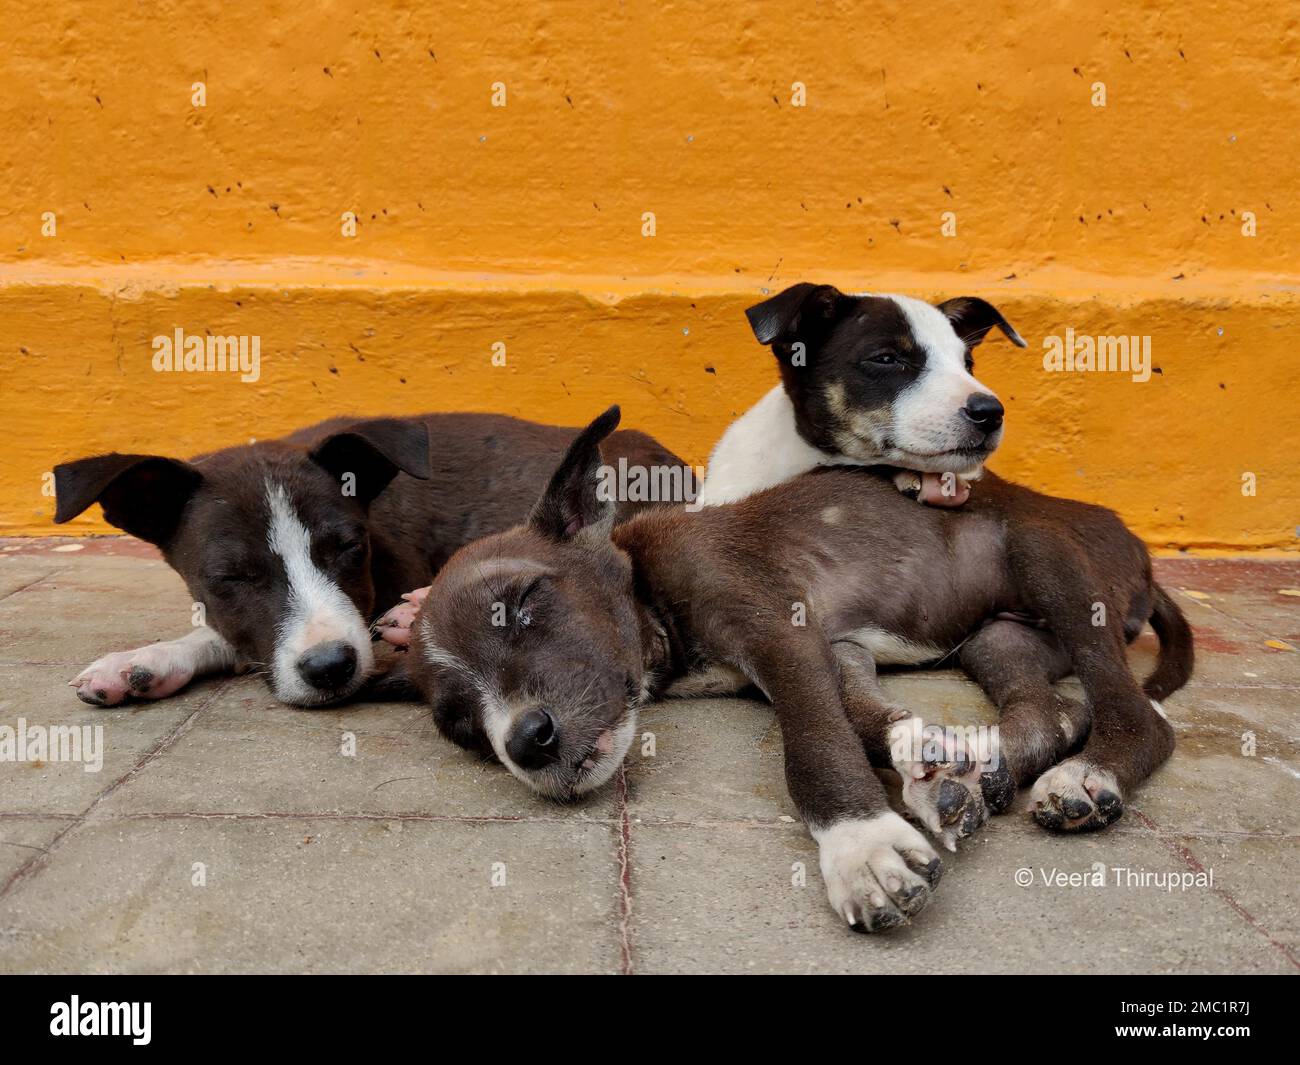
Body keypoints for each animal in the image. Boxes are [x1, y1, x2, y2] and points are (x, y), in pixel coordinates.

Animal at [390, 408, 1190, 931]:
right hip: (1000, 638)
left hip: (1044, 555)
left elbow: (814, 741)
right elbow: (863, 718)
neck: (651, 602)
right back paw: (988, 772)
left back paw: (1090, 776)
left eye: (525, 602)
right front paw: (929, 765)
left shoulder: (778, 631)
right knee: (1049, 708)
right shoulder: (837, 648)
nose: (526, 742)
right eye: (460, 725)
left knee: (1136, 713)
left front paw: (860, 844)